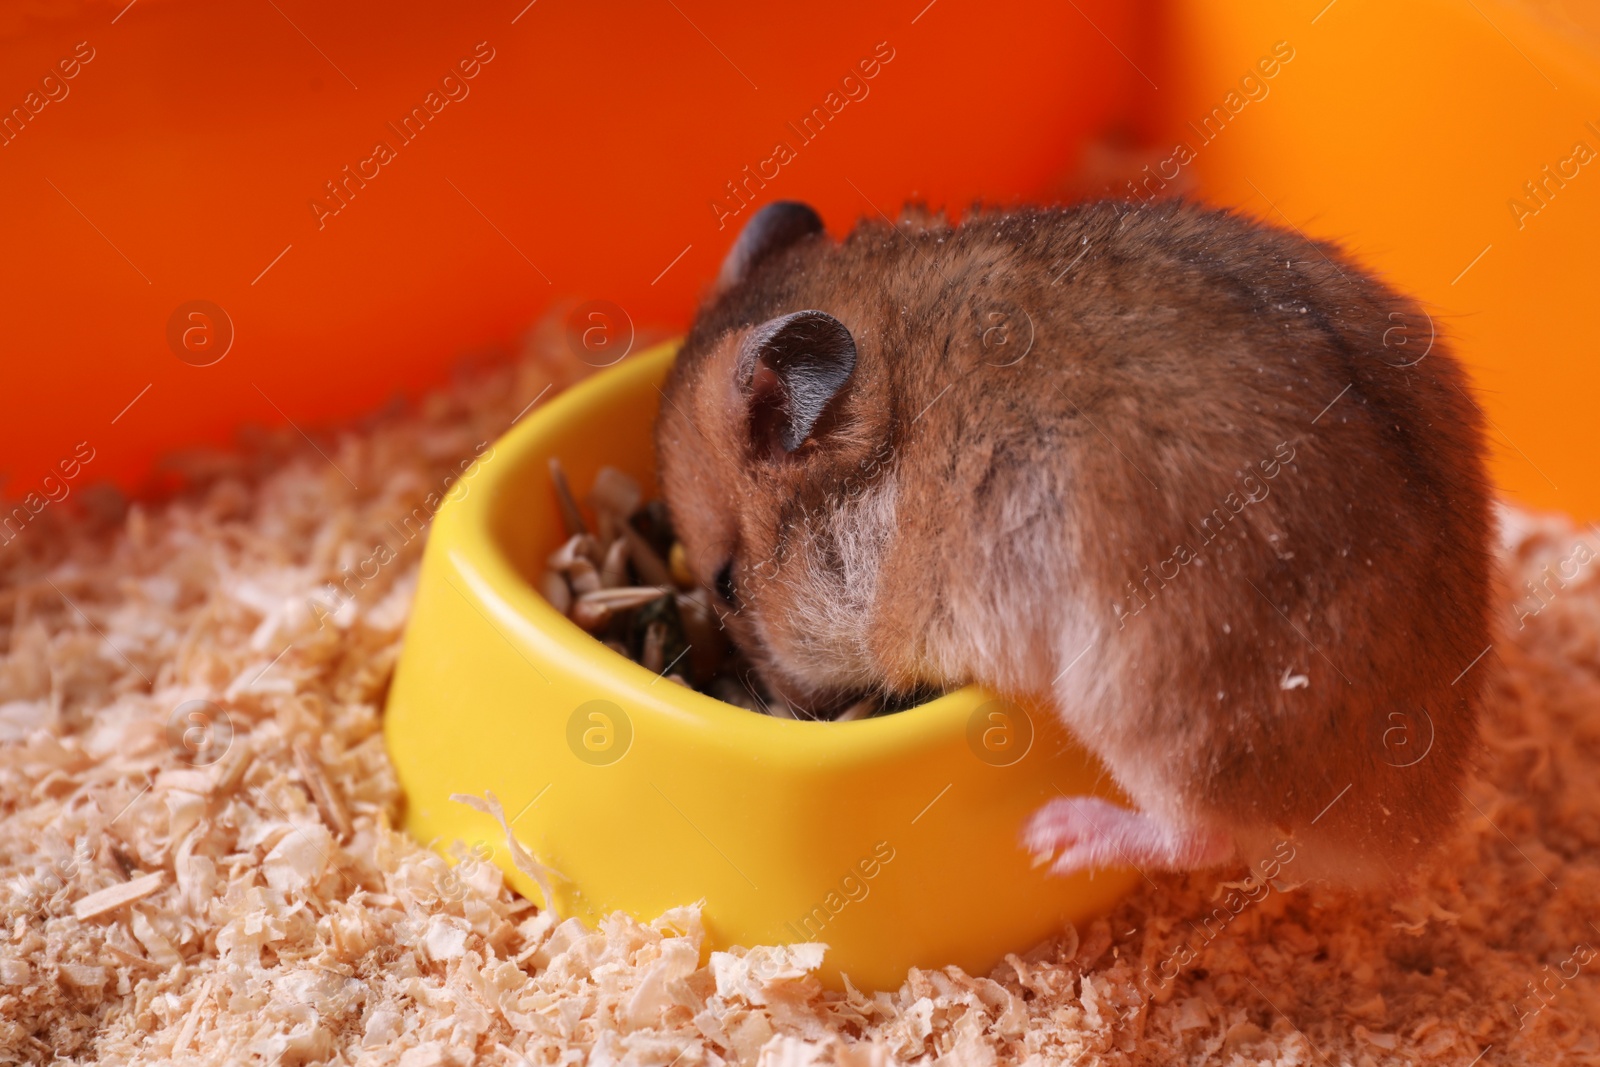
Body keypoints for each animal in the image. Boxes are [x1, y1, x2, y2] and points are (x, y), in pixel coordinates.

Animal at [646, 199, 1484, 883]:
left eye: (726, 583)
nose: (783, 702)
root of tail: (1409, 835)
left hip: (1149, 703)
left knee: (1200, 837)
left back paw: (1052, 836)